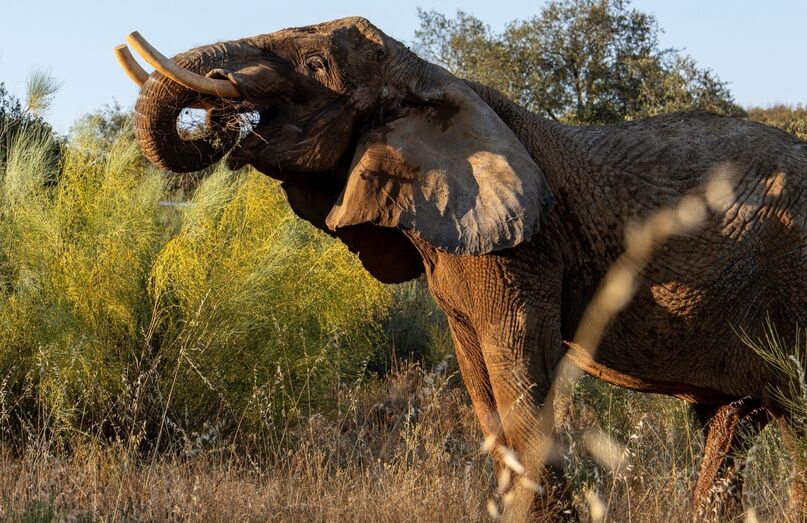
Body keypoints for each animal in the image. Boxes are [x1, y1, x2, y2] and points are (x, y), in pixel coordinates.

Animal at [115, 17, 806, 521]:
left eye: (315, 66)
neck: (436, 80)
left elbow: (518, 369)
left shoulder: (525, 249)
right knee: (735, 421)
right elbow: (482, 386)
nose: (221, 109)